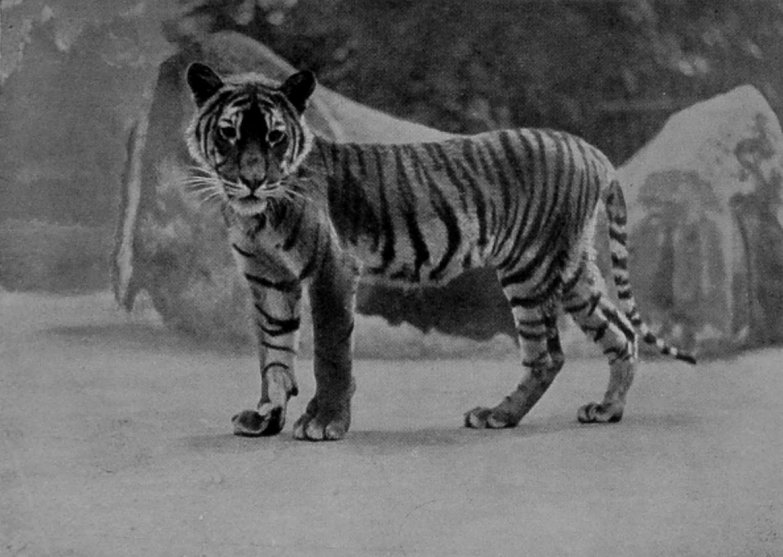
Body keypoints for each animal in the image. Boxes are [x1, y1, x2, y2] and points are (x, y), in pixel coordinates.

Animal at [183, 61, 695, 441]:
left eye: (274, 136)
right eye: (229, 133)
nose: (252, 179)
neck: (256, 214)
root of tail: (590, 149)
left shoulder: (331, 270)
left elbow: (329, 352)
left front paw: (325, 421)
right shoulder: (268, 279)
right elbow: (273, 352)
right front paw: (265, 417)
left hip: (529, 268)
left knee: (548, 354)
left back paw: (497, 415)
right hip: (571, 269)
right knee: (620, 332)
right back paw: (607, 410)